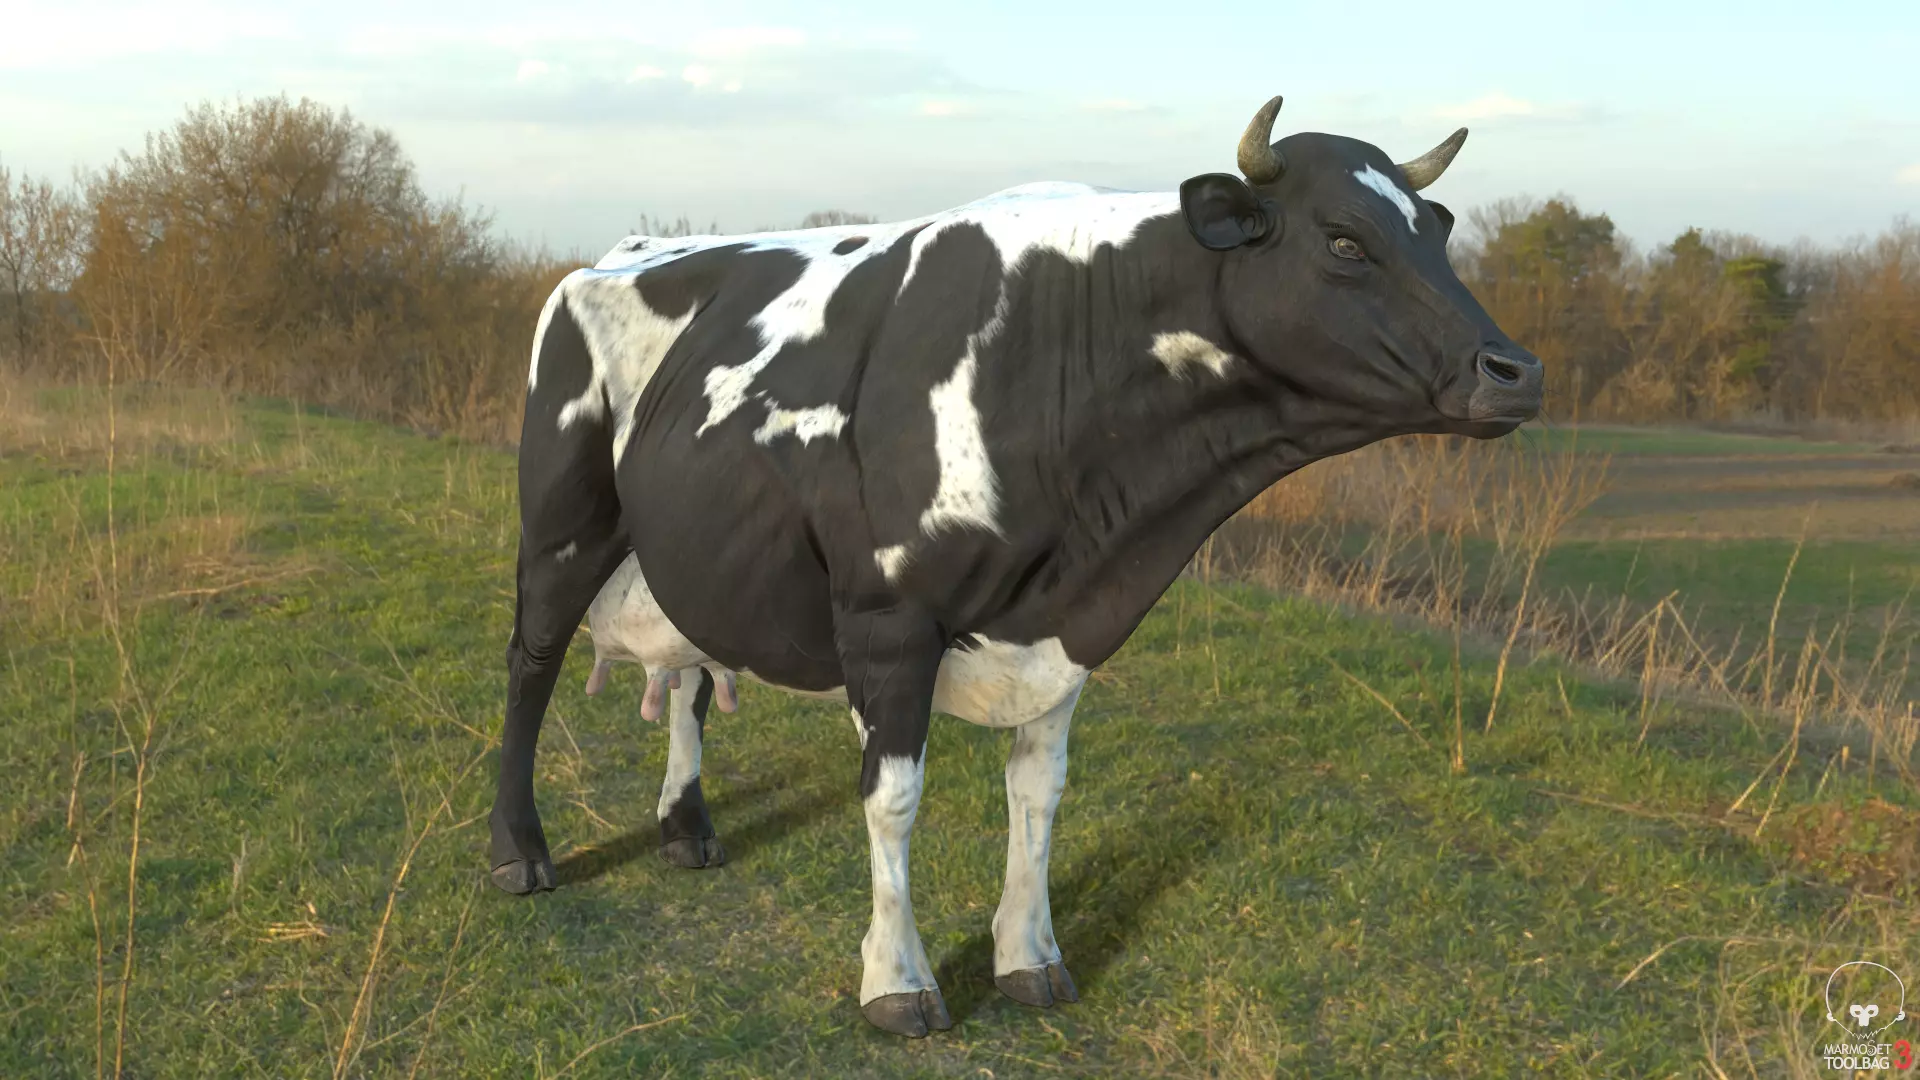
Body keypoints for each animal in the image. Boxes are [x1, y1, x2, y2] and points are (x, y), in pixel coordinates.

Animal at [491, 94, 1544, 1038]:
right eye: (1344, 241)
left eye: (1436, 234)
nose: (1517, 370)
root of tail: (615, 254)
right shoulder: (887, 614)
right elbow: (894, 798)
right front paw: (897, 982)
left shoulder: (1063, 625)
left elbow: (1039, 796)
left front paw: (1029, 959)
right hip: (562, 519)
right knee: (530, 664)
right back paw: (519, 854)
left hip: (695, 549)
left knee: (693, 674)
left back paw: (686, 828)